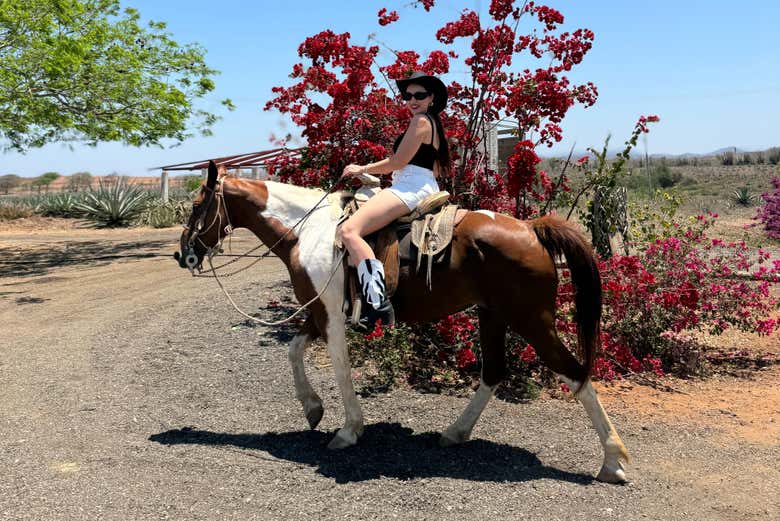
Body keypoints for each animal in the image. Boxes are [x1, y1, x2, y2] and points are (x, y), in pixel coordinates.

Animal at [175, 161, 630, 483]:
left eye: (197, 205)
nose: (183, 254)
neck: (310, 232)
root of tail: (533, 229)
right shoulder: (319, 312)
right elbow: (293, 350)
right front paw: (312, 408)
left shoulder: (330, 318)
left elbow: (340, 370)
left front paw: (349, 430)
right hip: (493, 315)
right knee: (494, 372)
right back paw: (454, 433)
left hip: (532, 320)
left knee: (575, 374)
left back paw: (614, 461)